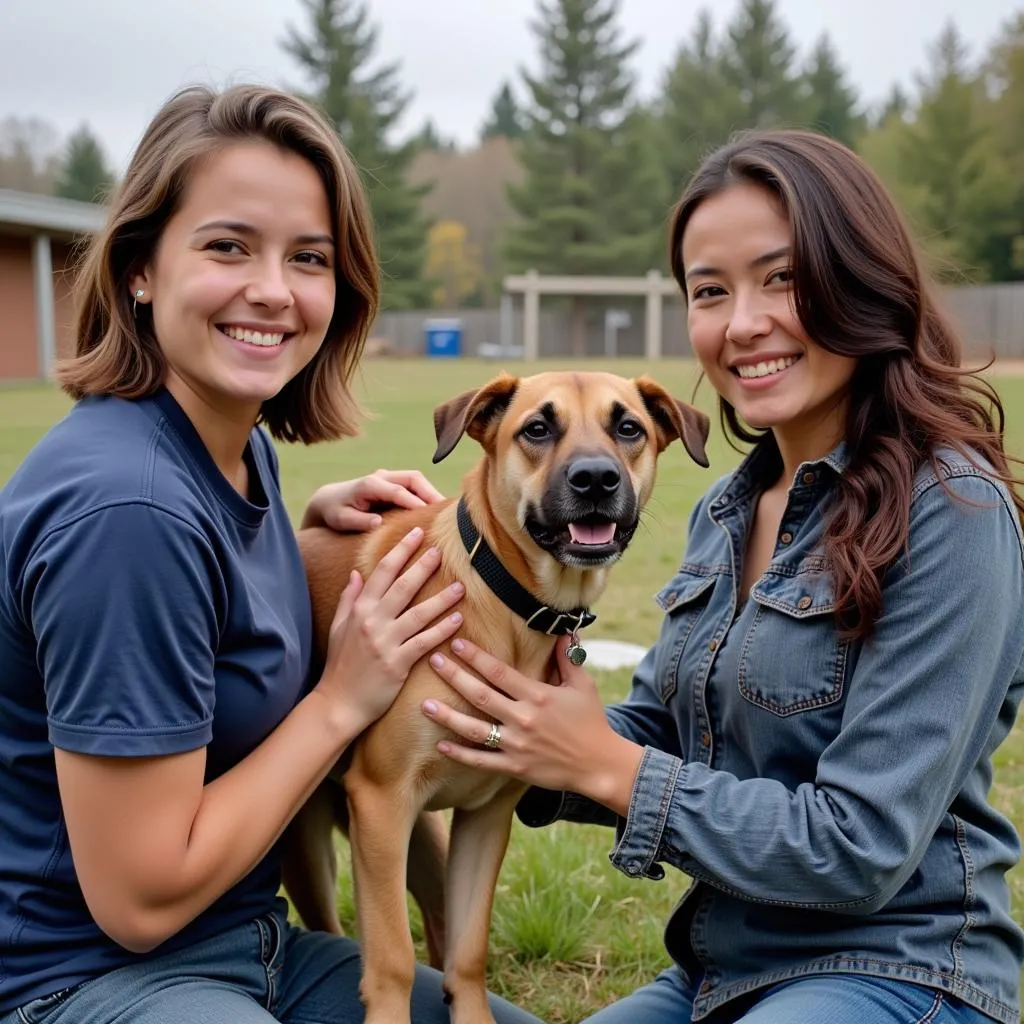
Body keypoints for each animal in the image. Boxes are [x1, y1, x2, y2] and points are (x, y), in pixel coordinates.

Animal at [284, 372, 708, 1024]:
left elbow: (467, 952)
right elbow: (391, 957)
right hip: (315, 844)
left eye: (627, 427)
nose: (595, 478)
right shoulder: (381, 800)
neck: (509, 607)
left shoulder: (484, 818)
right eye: (537, 428)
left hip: (418, 844)